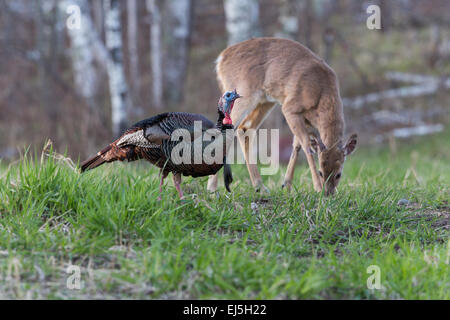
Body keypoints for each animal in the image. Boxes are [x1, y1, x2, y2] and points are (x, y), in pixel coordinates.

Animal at [207, 37, 358, 195]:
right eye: (321, 172)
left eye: (339, 174)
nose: (329, 193)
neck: (321, 94)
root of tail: (221, 58)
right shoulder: (290, 108)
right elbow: (306, 145)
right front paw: (317, 187)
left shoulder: (305, 119)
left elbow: (296, 146)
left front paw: (287, 185)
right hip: (243, 92)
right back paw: (212, 189)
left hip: (265, 101)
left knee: (245, 129)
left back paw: (260, 186)